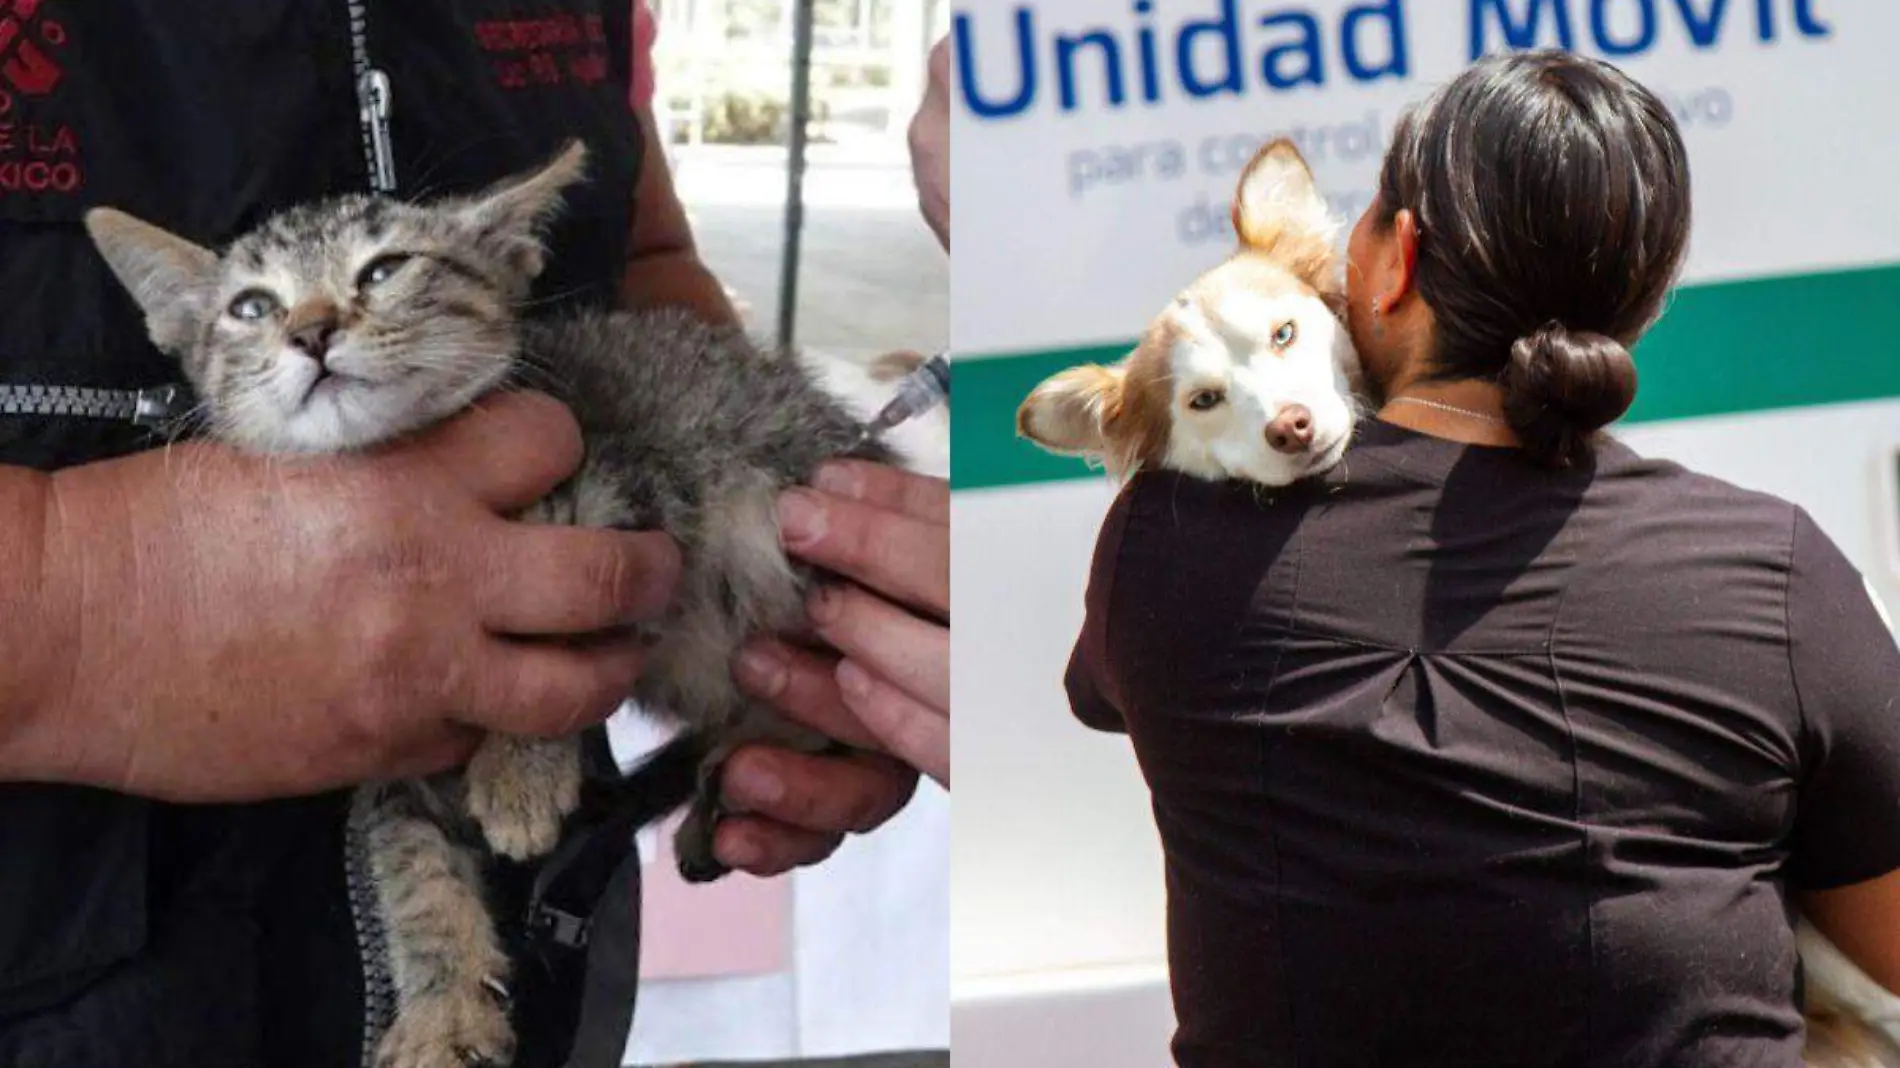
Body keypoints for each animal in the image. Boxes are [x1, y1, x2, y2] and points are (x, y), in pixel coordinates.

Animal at [87, 143, 889, 1064]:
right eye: (253, 306)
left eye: (384, 269)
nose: (312, 331)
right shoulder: (390, 736)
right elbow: (409, 866)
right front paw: (445, 1010)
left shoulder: (634, 503)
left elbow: (561, 641)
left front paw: (518, 775)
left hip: (775, 517)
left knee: (831, 699)